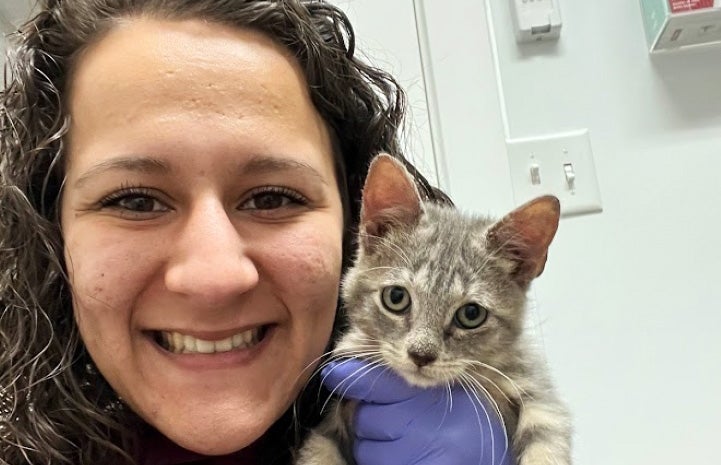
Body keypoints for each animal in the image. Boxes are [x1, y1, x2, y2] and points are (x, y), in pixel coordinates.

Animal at [296, 154, 572, 464]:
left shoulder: (540, 397)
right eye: (396, 297)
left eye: (471, 314)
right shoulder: (332, 417)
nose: (421, 355)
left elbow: (546, 441)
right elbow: (319, 448)